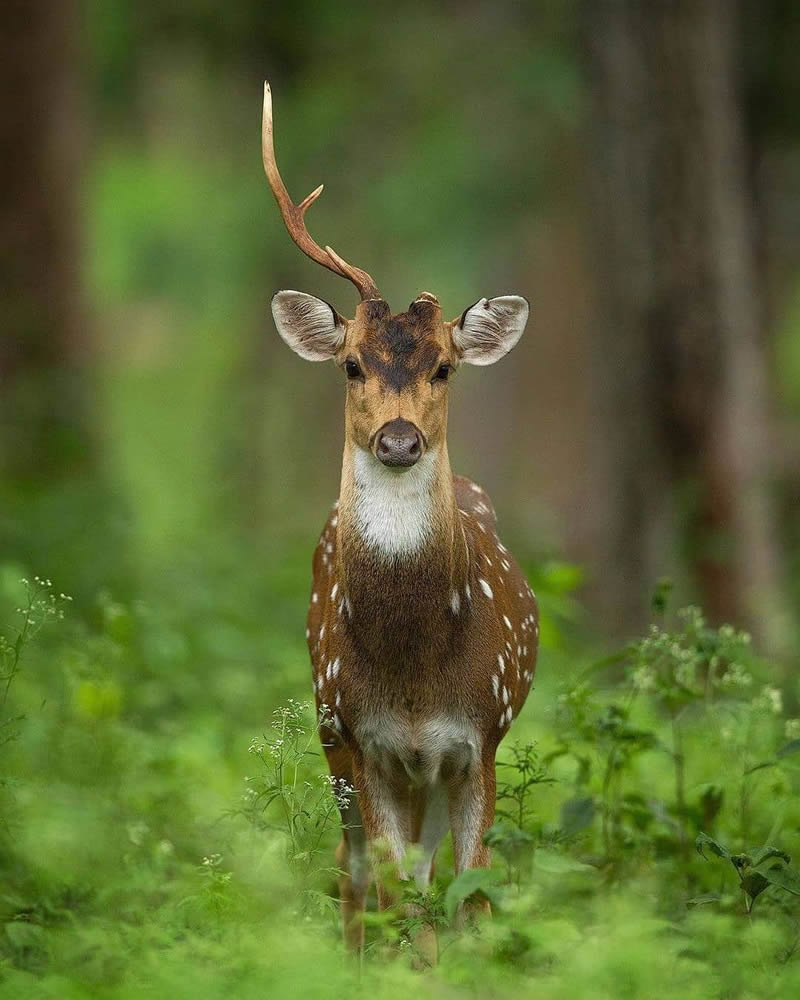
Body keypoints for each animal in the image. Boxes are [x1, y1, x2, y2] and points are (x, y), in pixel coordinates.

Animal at [262, 82, 536, 948]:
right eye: (351, 363)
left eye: (444, 366)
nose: (399, 439)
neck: (416, 679)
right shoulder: (366, 741)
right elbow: (396, 902)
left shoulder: (479, 738)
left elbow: (470, 897)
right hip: (329, 735)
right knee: (354, 880)